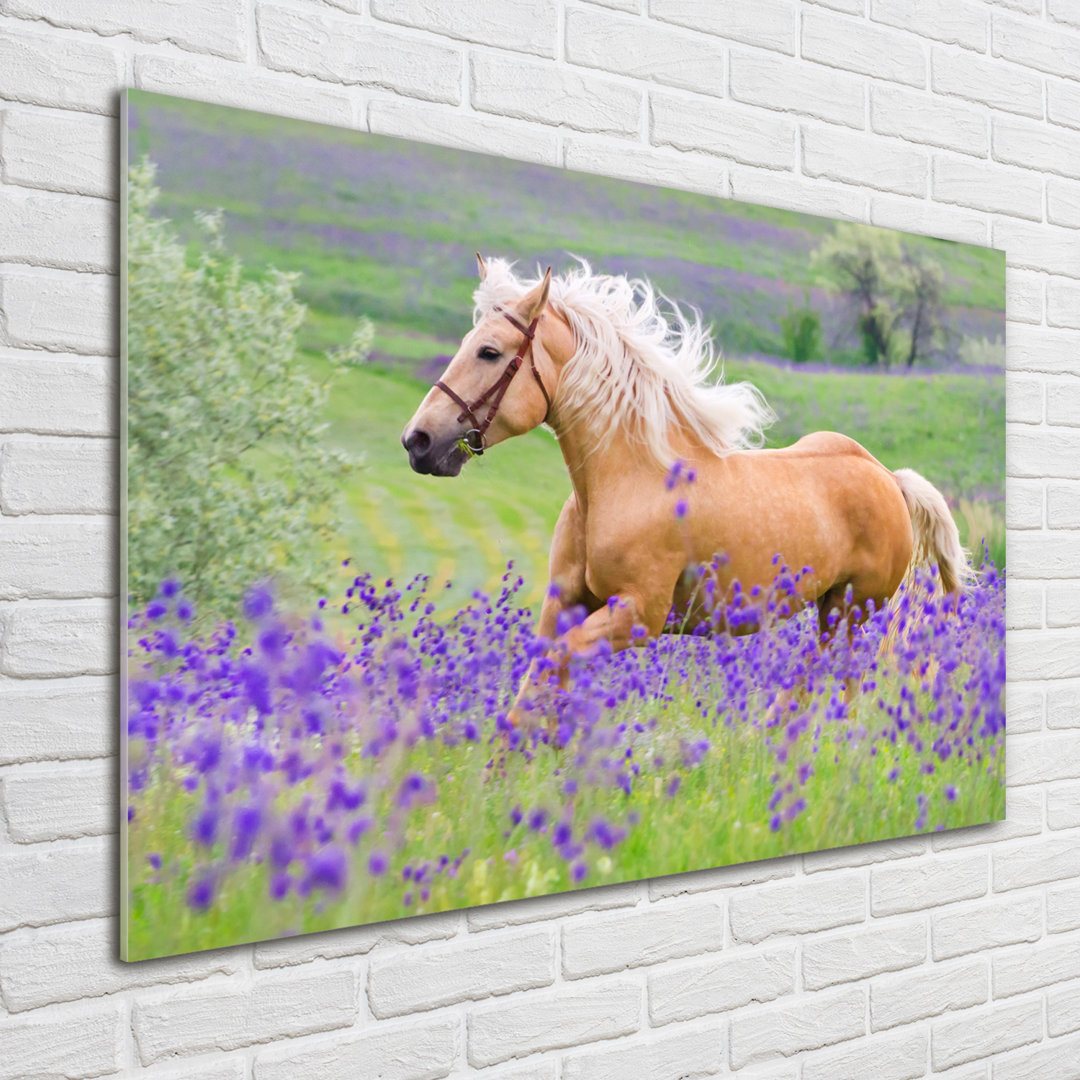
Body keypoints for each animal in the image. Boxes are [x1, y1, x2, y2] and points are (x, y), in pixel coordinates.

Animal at [403, 257, 972, 721]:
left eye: (490, 352)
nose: (418, 441)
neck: (625, 481)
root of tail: (889, 479)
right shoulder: (564, 604)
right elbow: (533, 691)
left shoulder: (638, 615)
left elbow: (552, 675)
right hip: (832, 610)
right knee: (814, 680)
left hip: (851, 612)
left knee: (840, 685)